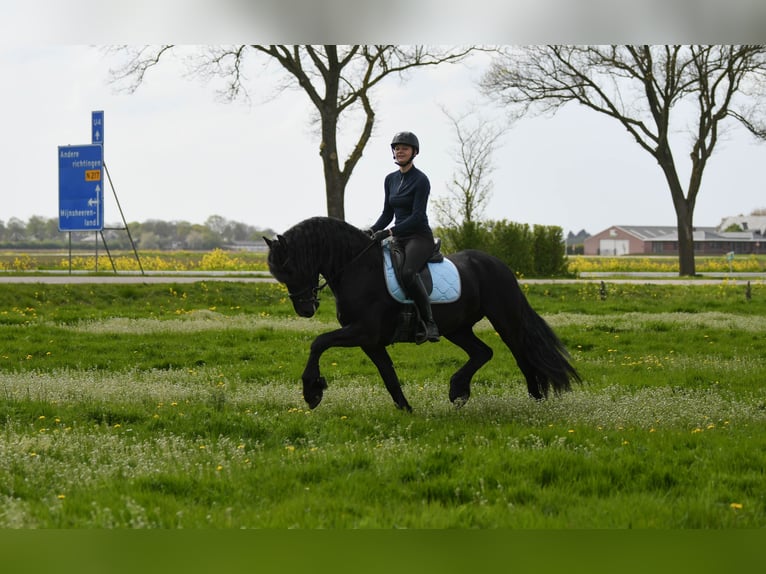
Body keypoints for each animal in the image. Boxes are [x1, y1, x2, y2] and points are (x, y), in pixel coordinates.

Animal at [264, 216, 580, 412]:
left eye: (290, 267)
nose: (305, 309)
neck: (359, 268)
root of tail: (498, 264)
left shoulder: (363, 331)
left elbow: (318, 342)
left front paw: (312, 391)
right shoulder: (370, 341)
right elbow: (388, 375)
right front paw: (406, 409)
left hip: (505, 319)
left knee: (521, 353)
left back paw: (535, 399)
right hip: (456, 328)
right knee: (483, 352)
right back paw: (458, 391)